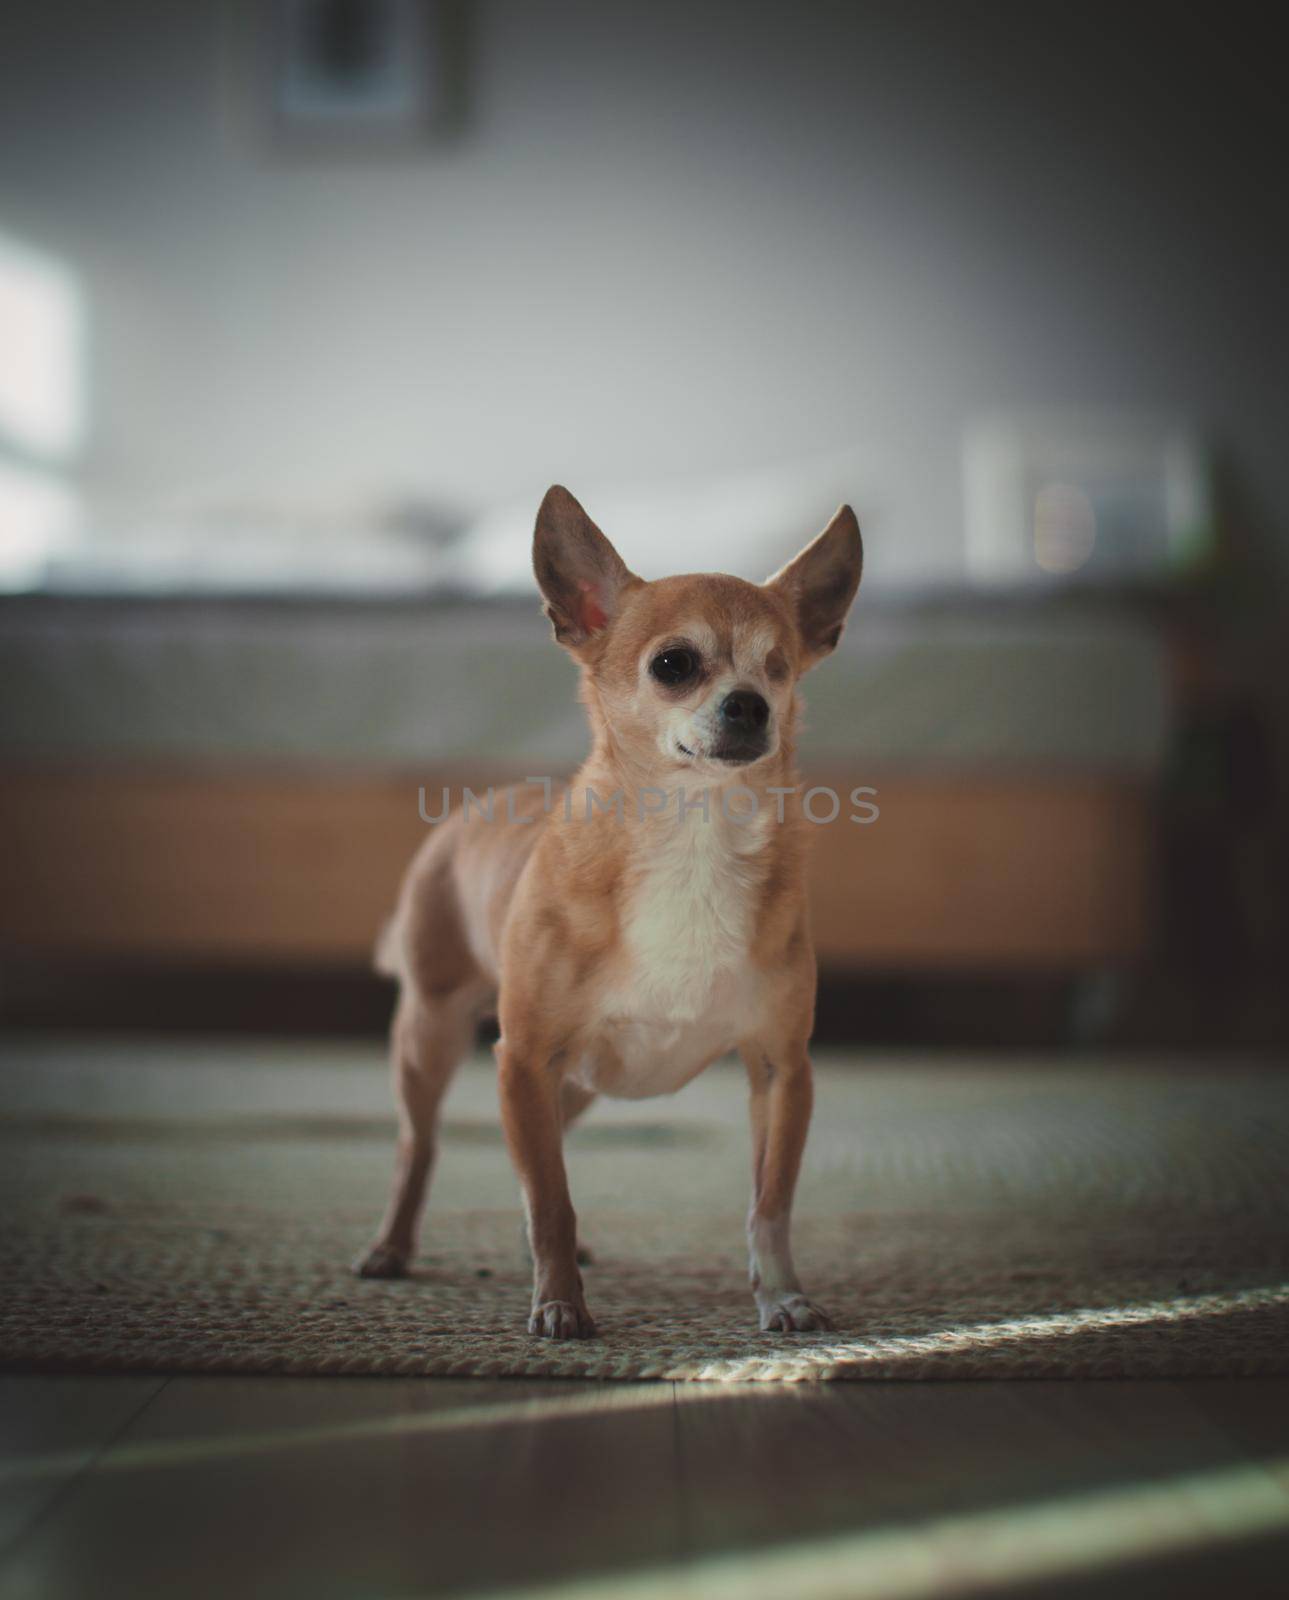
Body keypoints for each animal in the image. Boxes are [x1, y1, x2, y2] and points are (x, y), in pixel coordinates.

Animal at [356, 483, 869, 1337]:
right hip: (431, 1037)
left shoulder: (779, 1069)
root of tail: (472, 809)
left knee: (539, 1152)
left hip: (577, 1083)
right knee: (416, 1148)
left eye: (780, 668)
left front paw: (782, 1295)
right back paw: (392, 1247)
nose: (752, 706)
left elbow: (768, 1202)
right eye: (673, 665)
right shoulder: (525, 1056)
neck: (692, 835)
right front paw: (560, 1304)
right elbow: (551, 1198)